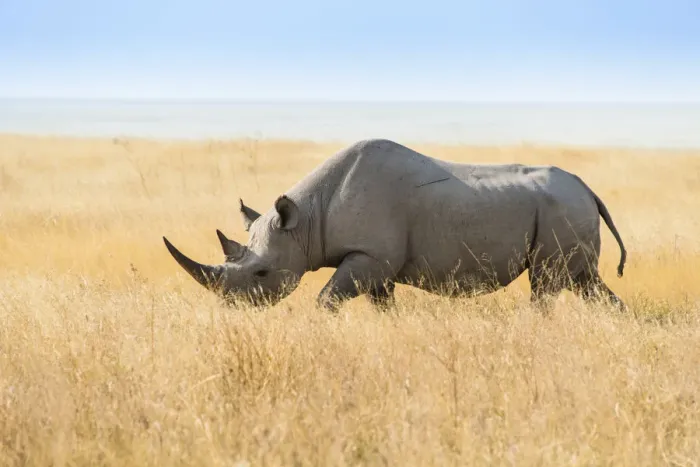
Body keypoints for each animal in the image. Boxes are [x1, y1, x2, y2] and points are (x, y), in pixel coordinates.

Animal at [163, 138, 627, 310]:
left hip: (560, 209)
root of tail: (588, 189)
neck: (306, 220)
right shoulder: (377, 264)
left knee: (547, 283)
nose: (233, 307)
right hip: (567, 209)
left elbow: (327, 298)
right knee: (587, 282)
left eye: (262, 273)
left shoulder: (370, 256)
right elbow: (382, 304)